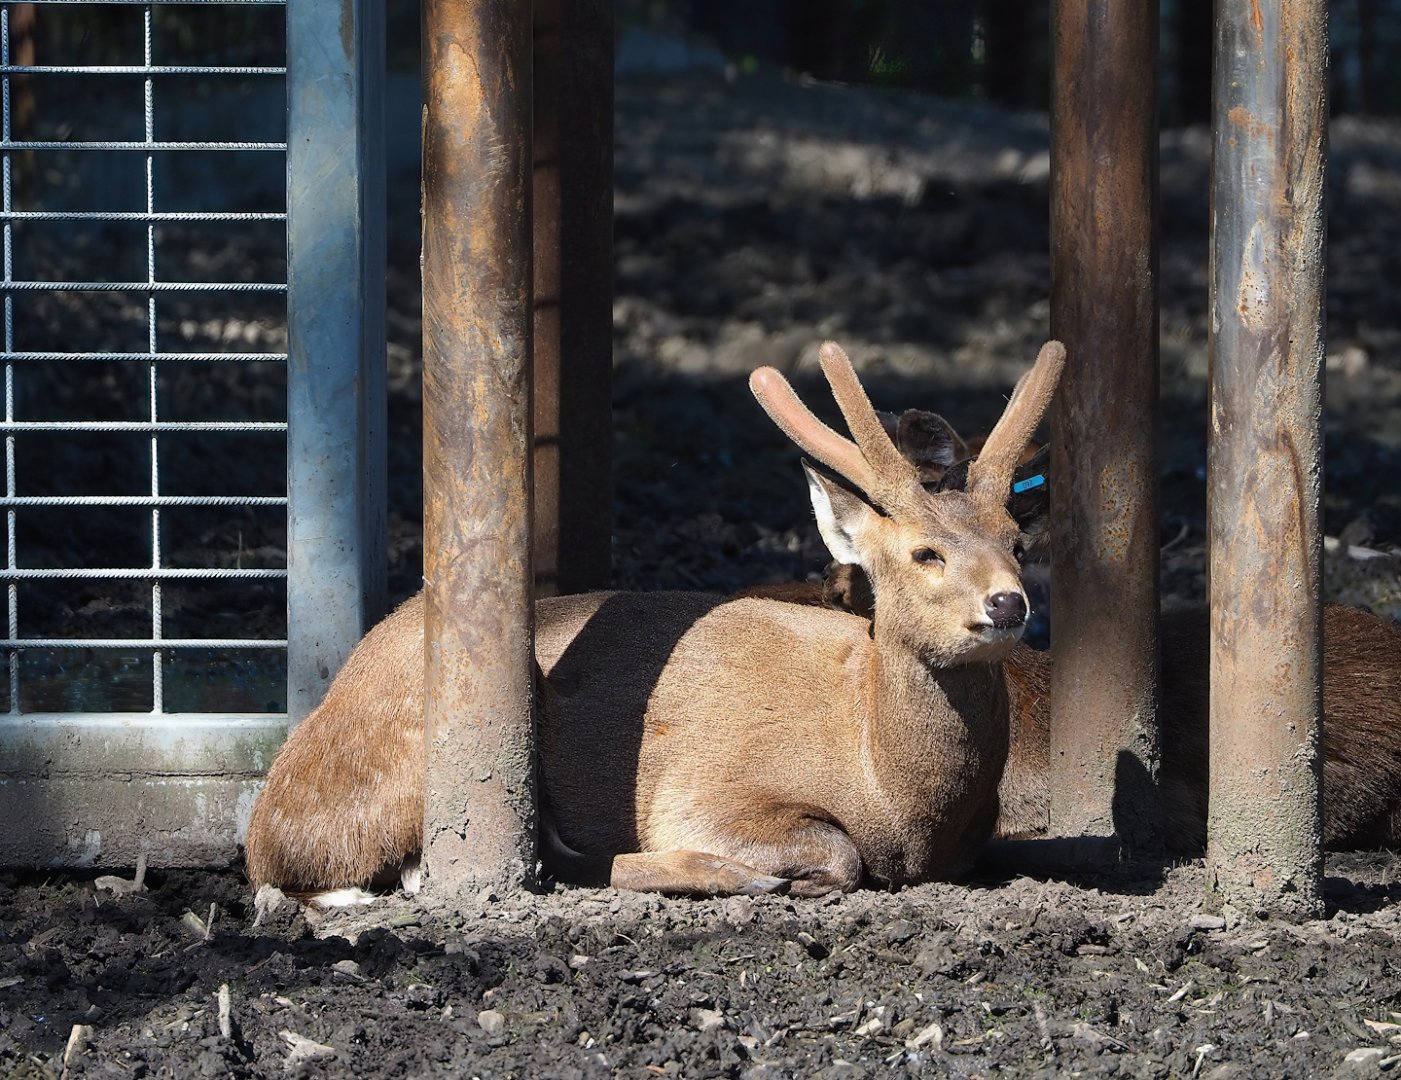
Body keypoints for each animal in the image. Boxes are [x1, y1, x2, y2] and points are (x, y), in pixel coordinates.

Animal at [243, 340, 1066, 905]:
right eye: (924, 551)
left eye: (1017, 544)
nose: (1007, 604)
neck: (901, 804)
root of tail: (263, 820)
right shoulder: (706, 791)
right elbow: (836, 853)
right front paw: (772, 876)